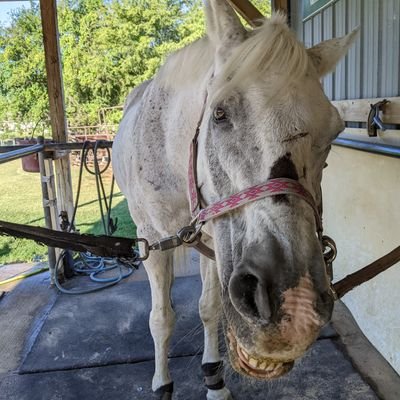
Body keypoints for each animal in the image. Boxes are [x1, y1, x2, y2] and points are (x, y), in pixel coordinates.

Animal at [112, 1, 356, 398]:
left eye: (335, 131)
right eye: (219, 114)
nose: (296, 306)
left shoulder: (216, 242)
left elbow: (210, 308)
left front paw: (214, 378)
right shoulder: (150, 240)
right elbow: (161, 319)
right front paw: (163, 384)